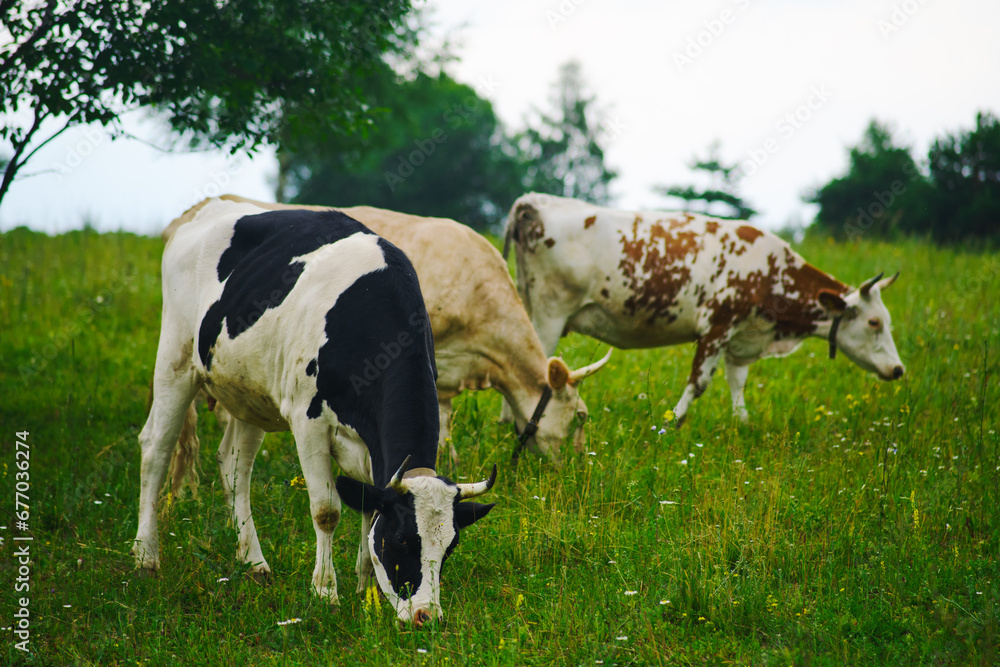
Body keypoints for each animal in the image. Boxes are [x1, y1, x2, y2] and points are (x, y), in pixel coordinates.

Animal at [133, 198, 496, 628]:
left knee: (233, 465)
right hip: (175, 359)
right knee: (155, 448)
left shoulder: (369, 445)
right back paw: (146, 556)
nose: (426, 616)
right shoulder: (308, 421)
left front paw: (366, 591)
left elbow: (367, 507)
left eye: (450, 547)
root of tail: (209, 209)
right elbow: (327, 510)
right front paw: (325, 593)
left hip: (250, 392)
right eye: (402, 539)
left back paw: (254, 563)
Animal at [504, 193, 904, 422]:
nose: (899, 369)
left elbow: (737, 384)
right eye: (873, 323)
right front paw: (671, 424)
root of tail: (535, 202)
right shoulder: (717, 326)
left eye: (888, 321)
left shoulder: (742, 339)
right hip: (549, 315)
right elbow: (698, 383)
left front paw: (742, 424)